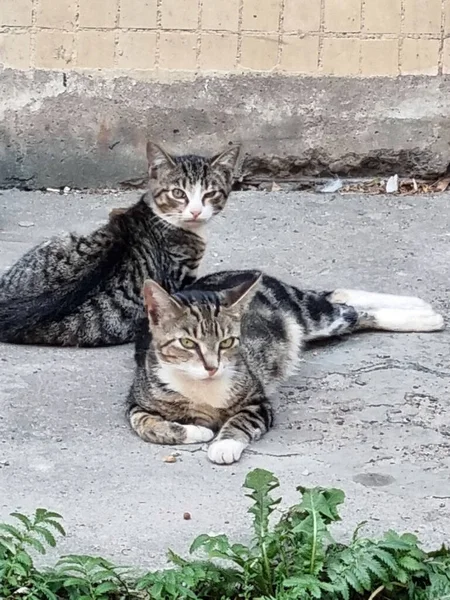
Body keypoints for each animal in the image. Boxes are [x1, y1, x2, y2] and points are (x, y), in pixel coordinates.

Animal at [126, 270, 442, 464]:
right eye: (187, 343)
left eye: (227, 342)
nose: (212, 367)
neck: (201, 388)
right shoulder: (136, 401)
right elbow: (145, 424)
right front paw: (197, 431)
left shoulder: (257, 401)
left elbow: (241, 420)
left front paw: (223, 444)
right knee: (340, 298)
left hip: (311, 315)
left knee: (349, 310)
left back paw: (424, 315)